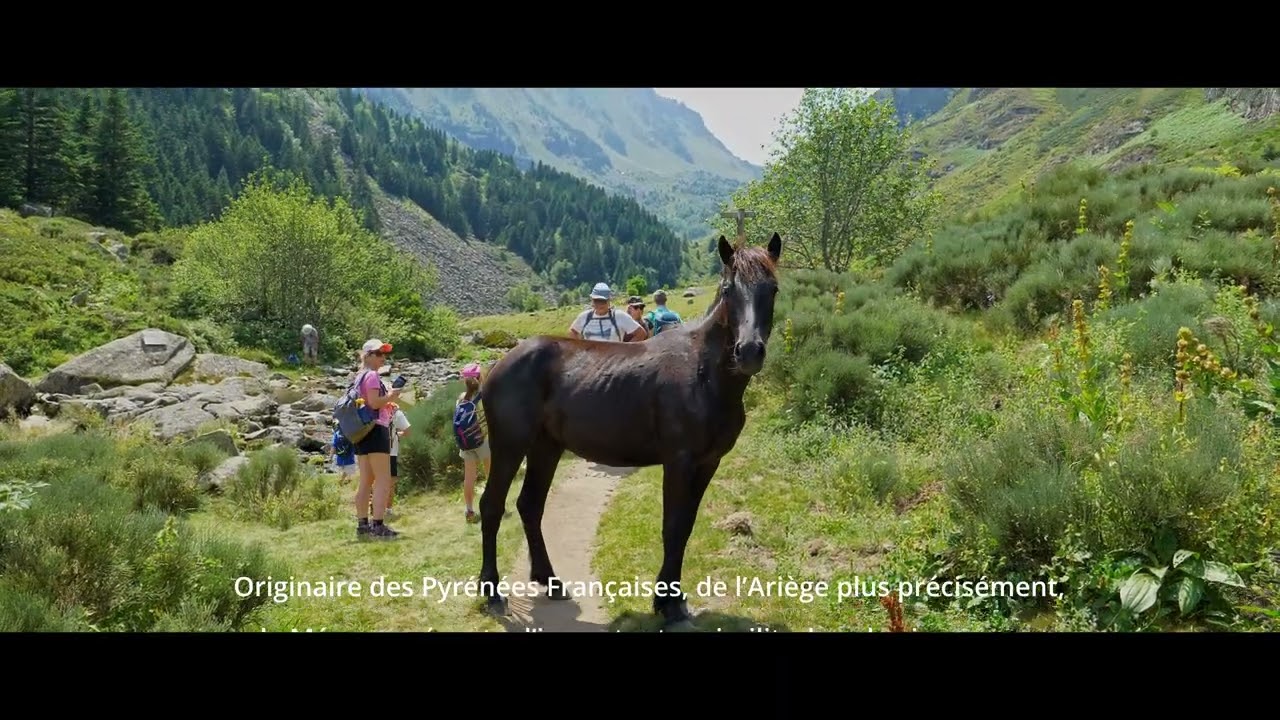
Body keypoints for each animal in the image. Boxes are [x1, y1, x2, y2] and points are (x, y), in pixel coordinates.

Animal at [475, 232, 783, 628]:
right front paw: (669, 606)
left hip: (546, 447)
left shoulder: (707, 463)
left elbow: (685, 527)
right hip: (510, 446)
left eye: (772, 289)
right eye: (729, 289)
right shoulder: (679, 462)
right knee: (492, 506)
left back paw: (550, 581)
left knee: (529, 505)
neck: (703, 373)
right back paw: (492, 593)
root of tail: (499, 365)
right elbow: (672, 526)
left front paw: (671, 600)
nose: (748, 352)